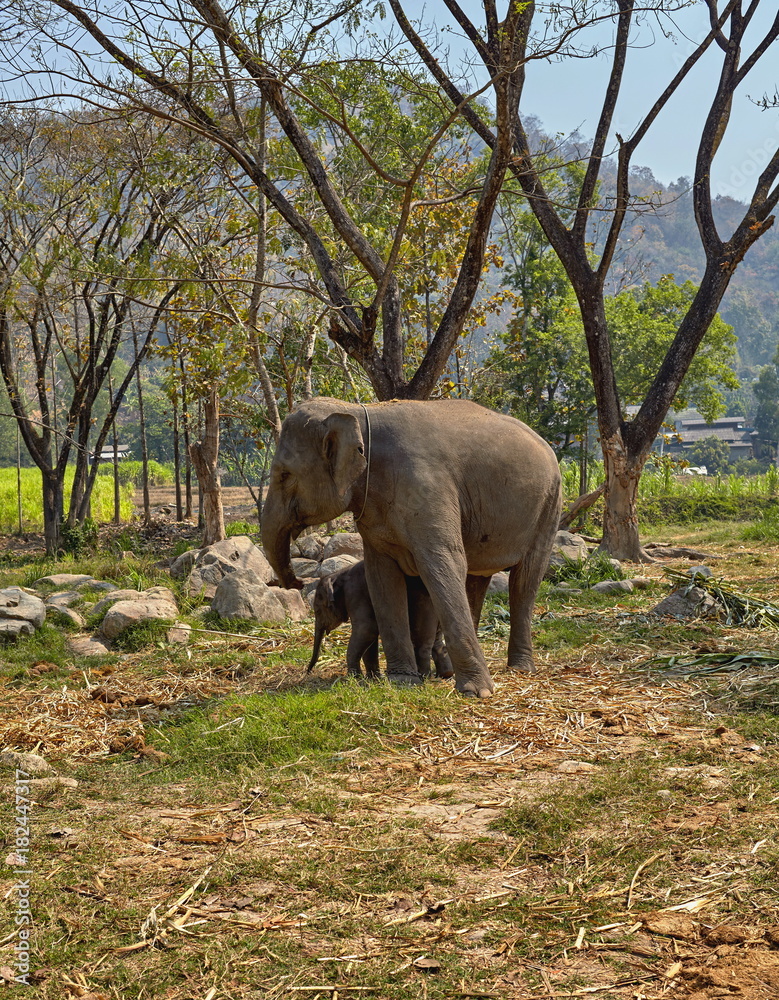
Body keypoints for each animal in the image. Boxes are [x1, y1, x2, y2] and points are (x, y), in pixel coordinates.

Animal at [307, 559, 454, 681]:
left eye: (318, 611)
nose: (308, 671)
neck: (338, 574)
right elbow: (370, 636)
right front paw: (373, 679)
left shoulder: (356, 593)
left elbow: (367, 629)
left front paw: (355, 679)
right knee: (436, 638)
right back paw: (444, 675)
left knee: (422, 639)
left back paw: (424, 677)